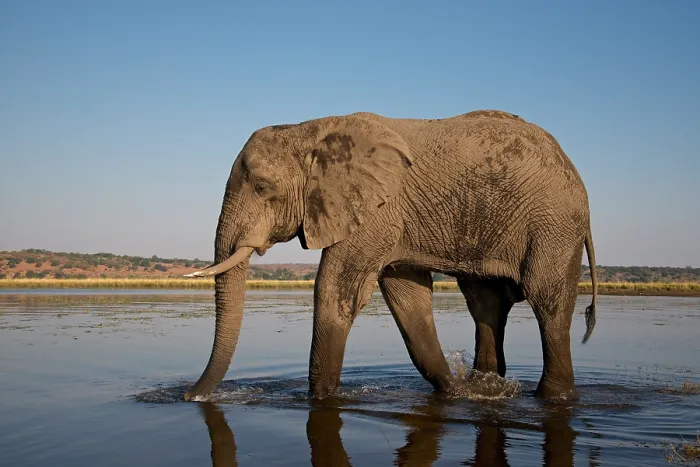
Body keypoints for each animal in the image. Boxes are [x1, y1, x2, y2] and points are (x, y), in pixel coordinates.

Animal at [182, 109, 599, 402]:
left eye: (262, 187)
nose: (189, 396)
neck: (311, 131)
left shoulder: (377, 211)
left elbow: (334, 290)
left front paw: (319, 399)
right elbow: (407, 300)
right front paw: (456, 391)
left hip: (554, 223)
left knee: (547, 300)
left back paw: (553, 397)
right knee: (485, 303)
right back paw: (486, 387)